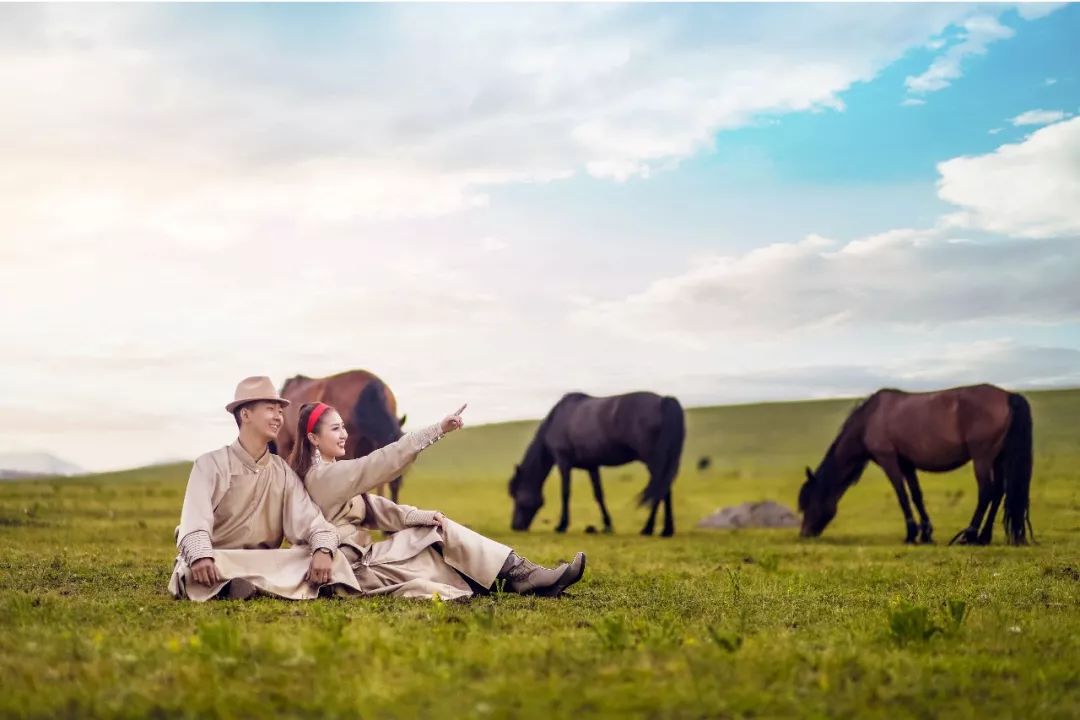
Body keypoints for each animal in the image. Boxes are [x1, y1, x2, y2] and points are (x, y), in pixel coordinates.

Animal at [505, 390, 682, 537]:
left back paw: (648, 528)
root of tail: (664, 400)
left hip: (653, 461)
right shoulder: (592, 466)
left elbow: (565, 493)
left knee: (660, 490)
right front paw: (608, 525)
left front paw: (562, 525)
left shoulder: (564, 463)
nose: (515, 526)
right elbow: (598, 494)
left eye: (516, 495)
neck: (557, 419)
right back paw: (666, 530)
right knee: (664, 489)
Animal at [799, 382, 1032, 546]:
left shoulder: (889, 461)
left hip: (982, 459)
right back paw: (984, 537)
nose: (804, 534)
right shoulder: (907, 464)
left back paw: (971, 535)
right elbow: (916, 495)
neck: (870, 419)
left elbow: (902, 496)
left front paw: (911, 534)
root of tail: (1008, 396)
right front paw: (926, 534)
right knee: (999, 492)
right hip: (998, 459)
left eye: (809, 502)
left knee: (986, 492)